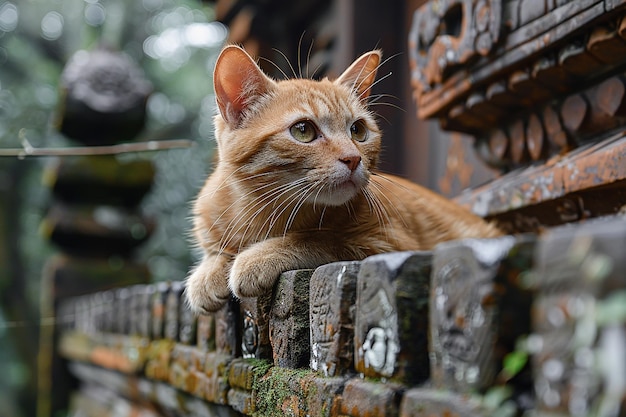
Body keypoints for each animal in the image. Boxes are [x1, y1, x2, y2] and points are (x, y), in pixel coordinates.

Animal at [184, 45, 498, 312]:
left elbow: (320, 238)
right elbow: (214, 250)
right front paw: (208, 273)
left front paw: (258, 256)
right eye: (303, 130)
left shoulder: (388, 243)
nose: (353, 158)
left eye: (358, 130)